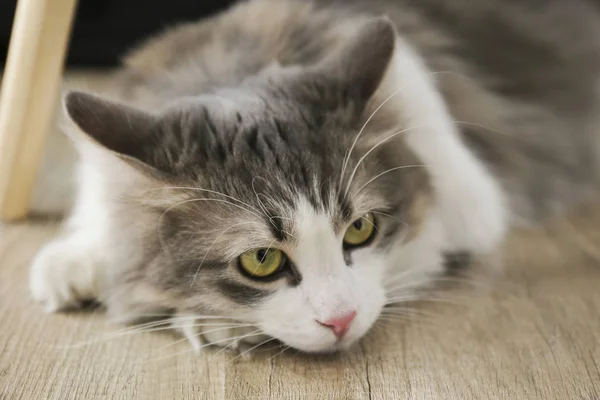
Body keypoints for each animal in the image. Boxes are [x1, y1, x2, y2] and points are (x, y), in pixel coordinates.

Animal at [28, 0, 600, 354]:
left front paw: (214, 321)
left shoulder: (466, 200)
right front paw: (77, 259)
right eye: (261, 260)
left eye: (361, 230)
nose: (341, 321)